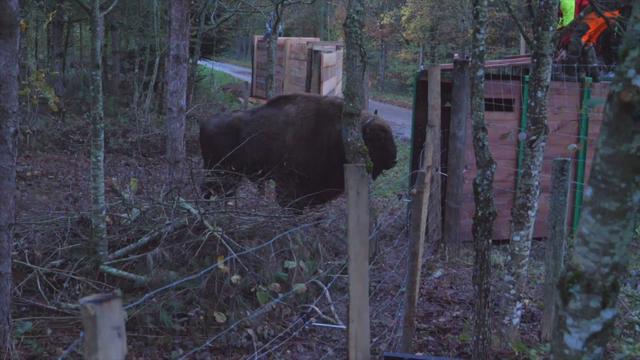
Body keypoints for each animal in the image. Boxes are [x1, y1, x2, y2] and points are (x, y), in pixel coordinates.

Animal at [200, 93, 398, 210]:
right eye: (378, 138)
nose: (393, 161)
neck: (336, 132)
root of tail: (205, 123)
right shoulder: (289, 182)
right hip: (220, 172)